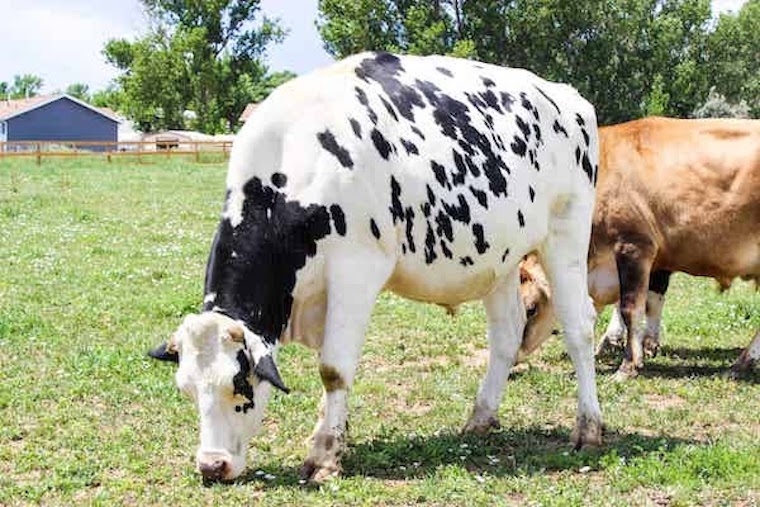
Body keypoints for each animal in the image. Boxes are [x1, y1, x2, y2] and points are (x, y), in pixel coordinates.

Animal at [149, 52, 603, 483]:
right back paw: (480, 418)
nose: (212, 465)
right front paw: (329, 436)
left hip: (566, 232)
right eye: (186, 390)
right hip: (500, 258)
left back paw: (588, 427)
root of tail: (566, 95)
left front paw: (324, 457)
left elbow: (333, 368)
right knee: (507, 334)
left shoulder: (356, 270)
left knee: (579, 326)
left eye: (239, 386)